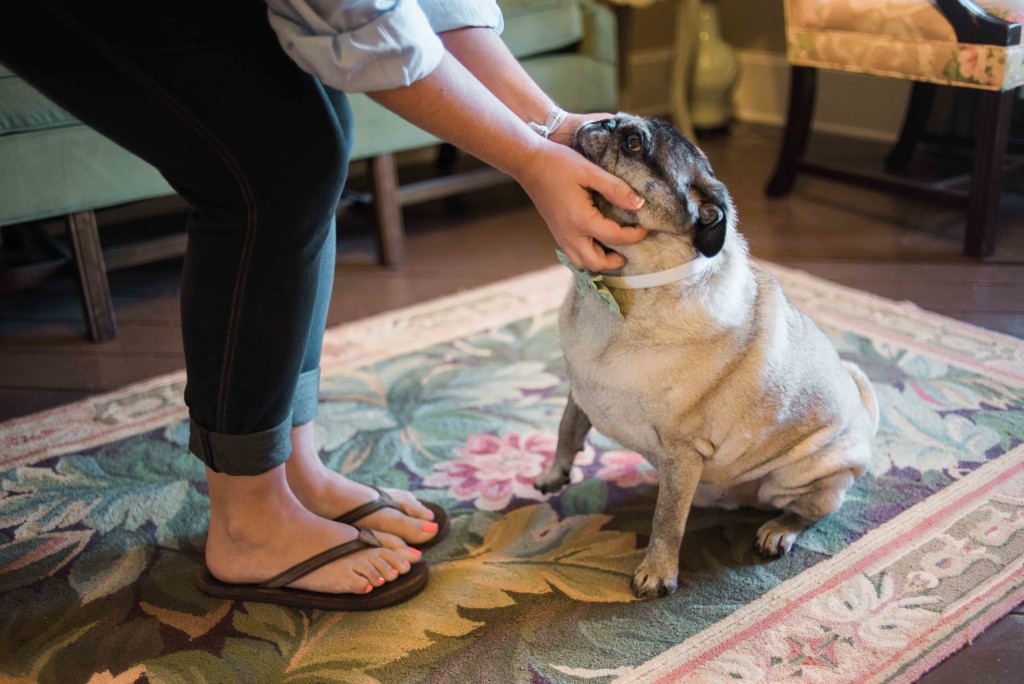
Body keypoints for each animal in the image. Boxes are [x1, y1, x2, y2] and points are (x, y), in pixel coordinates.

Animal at [536, 114, 880, 602]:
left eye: (634, 142)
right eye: (614, 121)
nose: (602, 119)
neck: (618, 290)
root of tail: (866, 425)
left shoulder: (683, 452)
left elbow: (666, 520)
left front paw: (657, 572)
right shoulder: (580, 392)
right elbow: (566, 429)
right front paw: (556, 472)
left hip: (799, 477)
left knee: (812, 511)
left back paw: (779, 530)